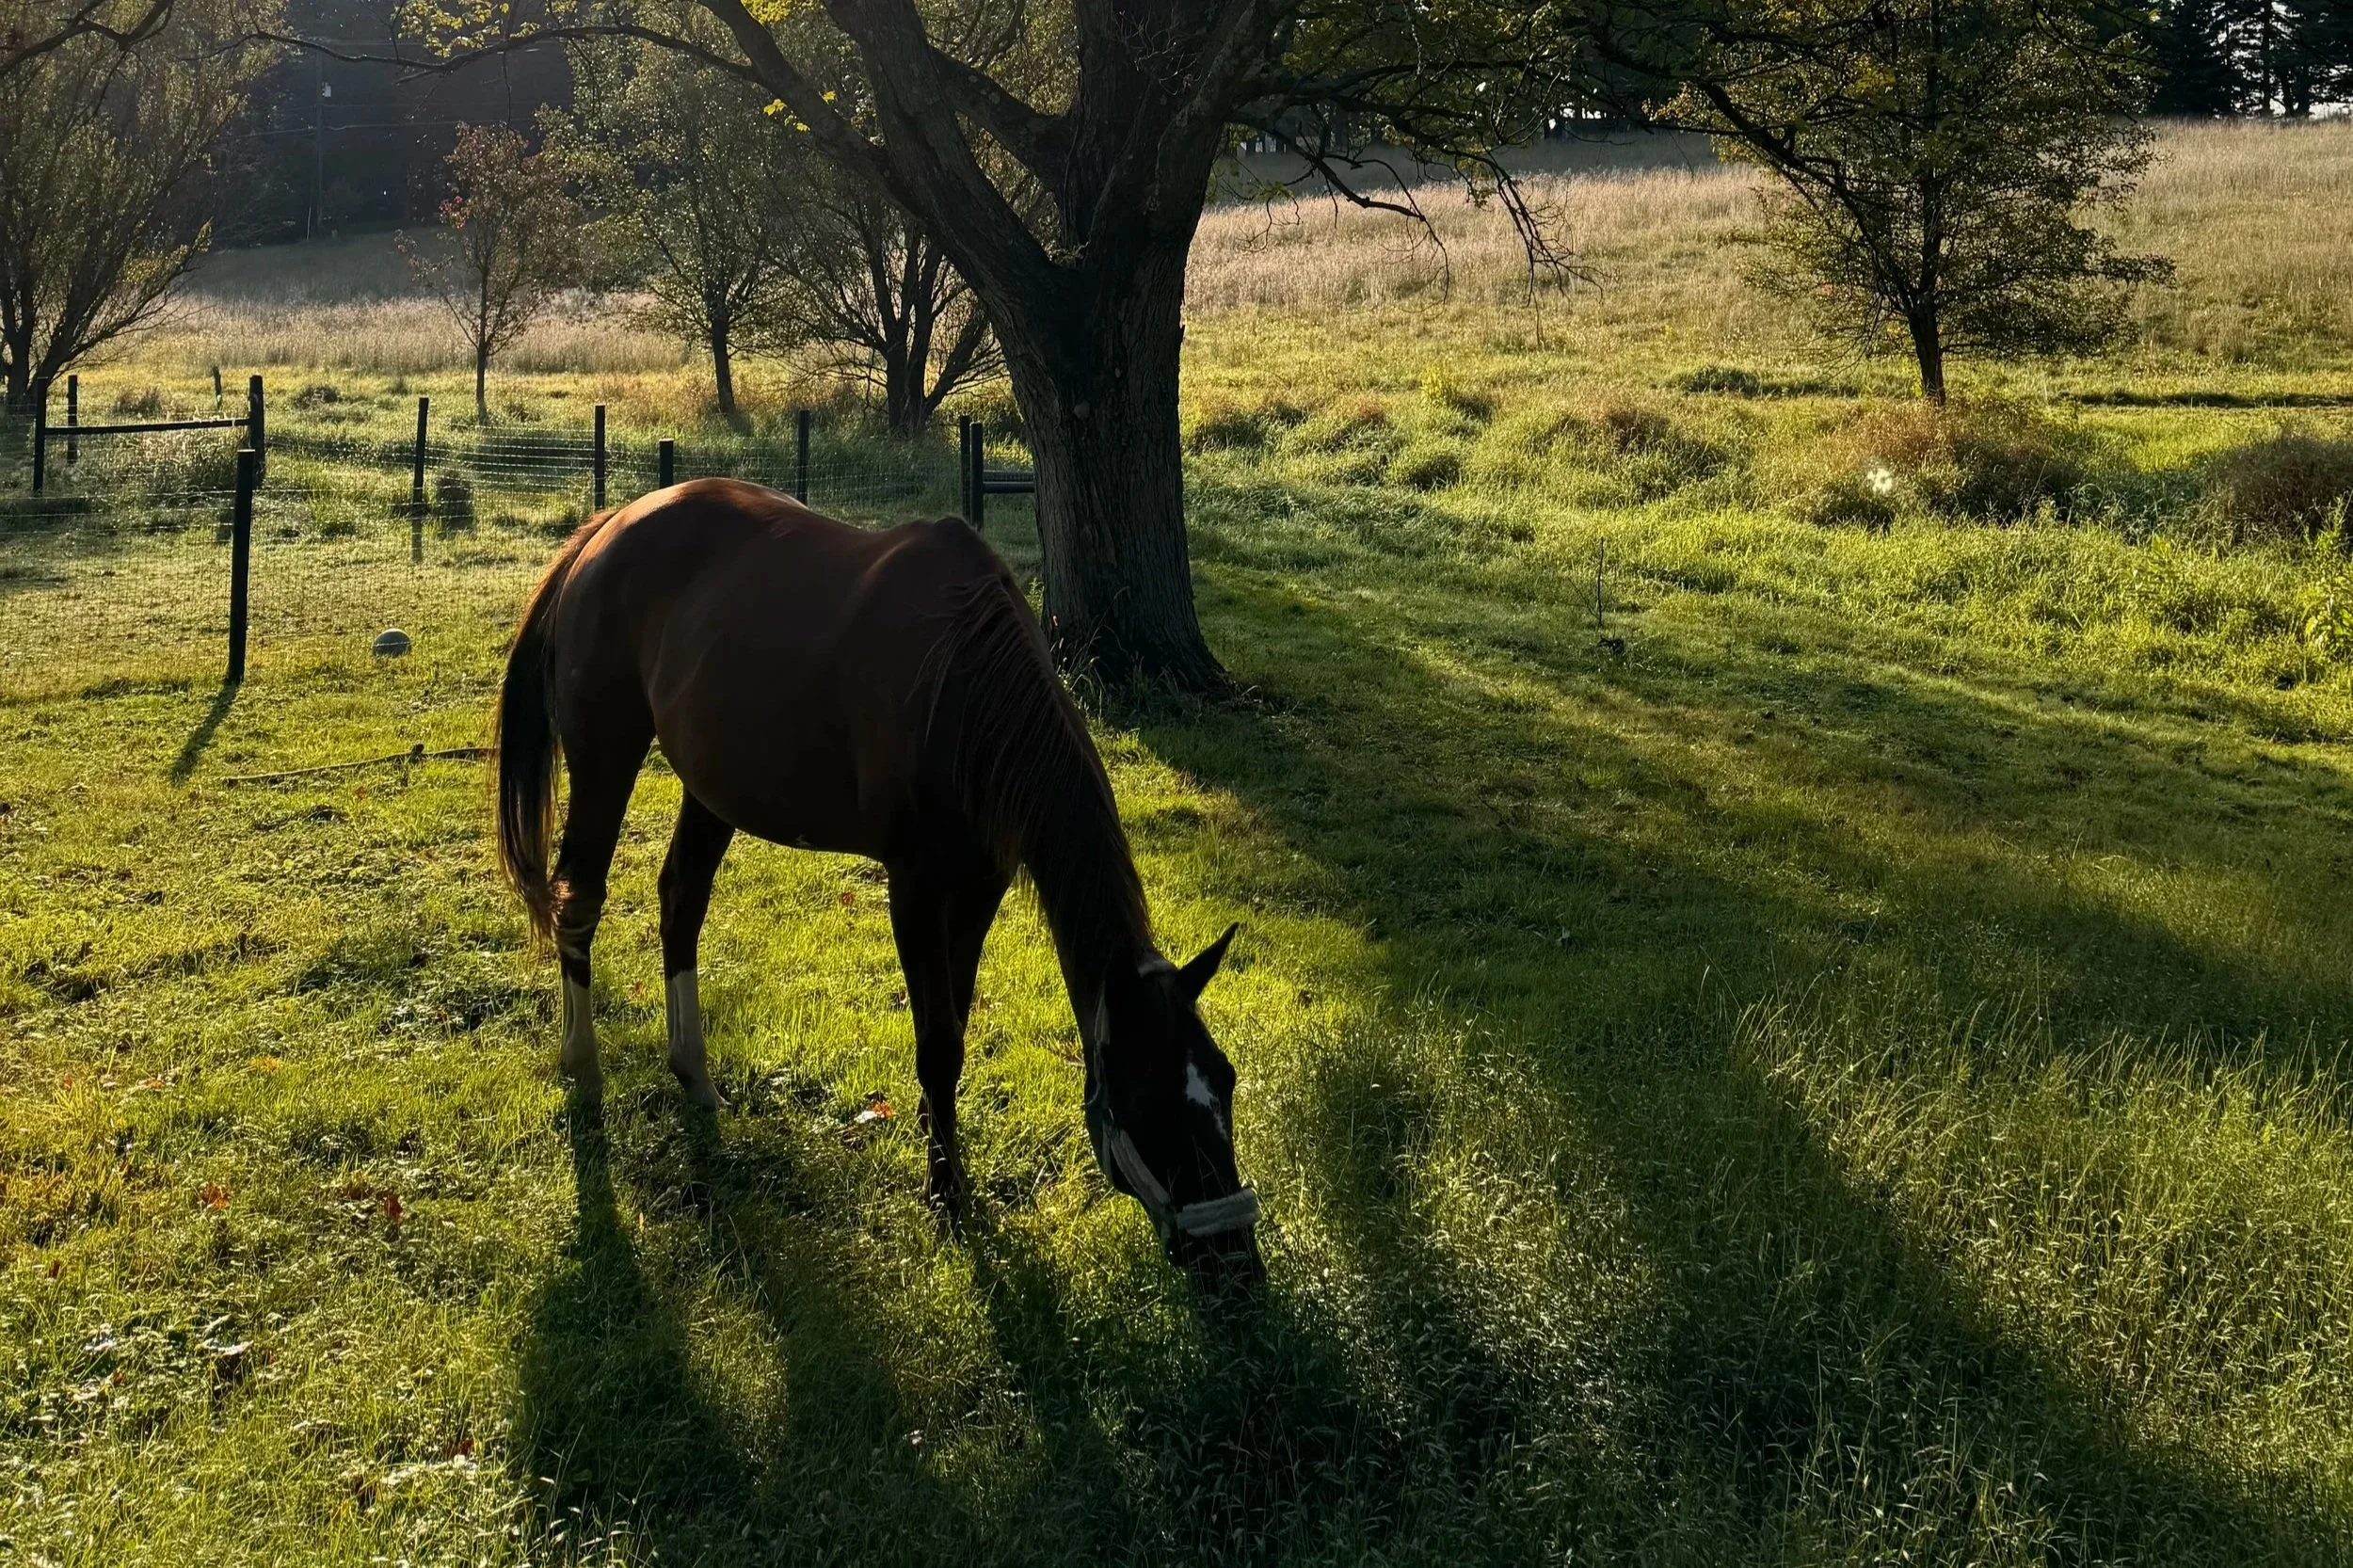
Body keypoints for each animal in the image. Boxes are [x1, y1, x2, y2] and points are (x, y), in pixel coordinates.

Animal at [492, 479, 1260, 1276]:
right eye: (1152, 1102)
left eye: (1226, 1081)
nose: (1237, 1264)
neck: (966, 684)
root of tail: (610, 526)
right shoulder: (915, 887)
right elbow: (938, 1043)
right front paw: (946, 1192)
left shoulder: (980, 886)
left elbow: (953, 1020)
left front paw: (941, 1148)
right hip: (604, 759)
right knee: (580, 899)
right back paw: (581, 1062)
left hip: (713, 787)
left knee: (681, 901)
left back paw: (694, 1074)